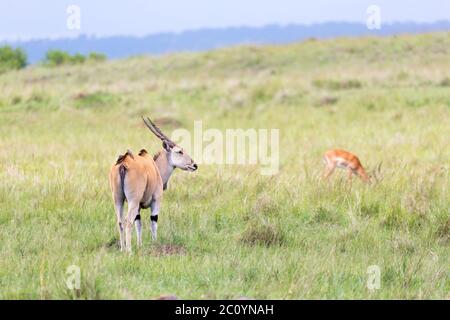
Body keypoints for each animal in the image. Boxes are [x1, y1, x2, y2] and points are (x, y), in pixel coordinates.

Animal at [108, 116, 197, 251]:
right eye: (179, 151)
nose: (194, 165)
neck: (154, 167)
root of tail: (123, 163)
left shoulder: (138, 207)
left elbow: (138, 224)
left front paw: (139, 245)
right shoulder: (156, 200)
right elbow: (153, 222)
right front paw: (155, 244)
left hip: (118, 200)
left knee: (120, 221)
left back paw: (122, 249)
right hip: (132, 201)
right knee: (128, 221)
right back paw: (129, 251)